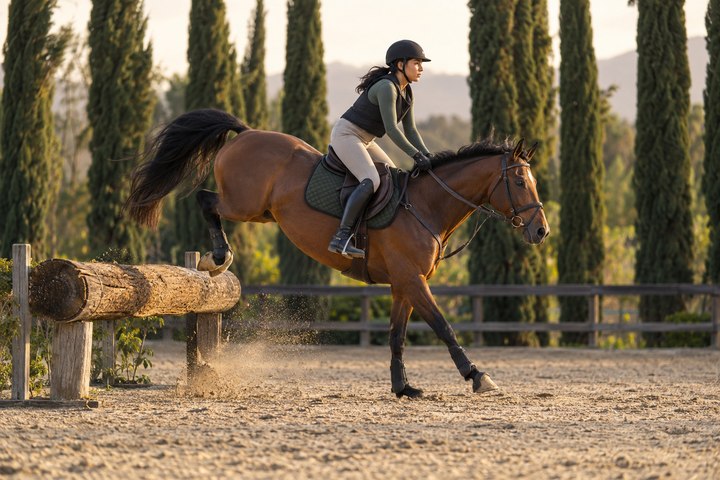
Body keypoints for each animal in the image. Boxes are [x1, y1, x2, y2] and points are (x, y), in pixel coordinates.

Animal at [126, 108, 549, 398]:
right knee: (206, 200)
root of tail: (246, 133)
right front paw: (478, 376)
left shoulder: (403, 284)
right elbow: (443, 326)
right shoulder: (413, 280)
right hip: (244, 204)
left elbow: (397, 336)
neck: (426, 206)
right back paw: (218, 256)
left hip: (260, 212)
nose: (541, 230)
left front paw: (403, 387)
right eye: (518, 181)